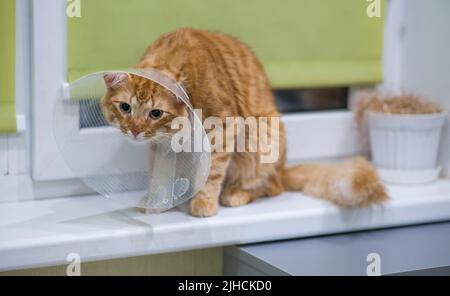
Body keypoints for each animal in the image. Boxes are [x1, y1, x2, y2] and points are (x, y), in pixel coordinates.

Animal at [101, 28, 386, 217]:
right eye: (125, 107)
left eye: (155, 113)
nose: (135, 130)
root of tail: (282, 170)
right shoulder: (162, 145)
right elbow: (160, 175)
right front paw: (158, 202)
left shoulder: (223, 127)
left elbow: (212, 172)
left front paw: (204, 204)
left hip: (261, 137)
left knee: (270, 187)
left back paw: (235, 194)